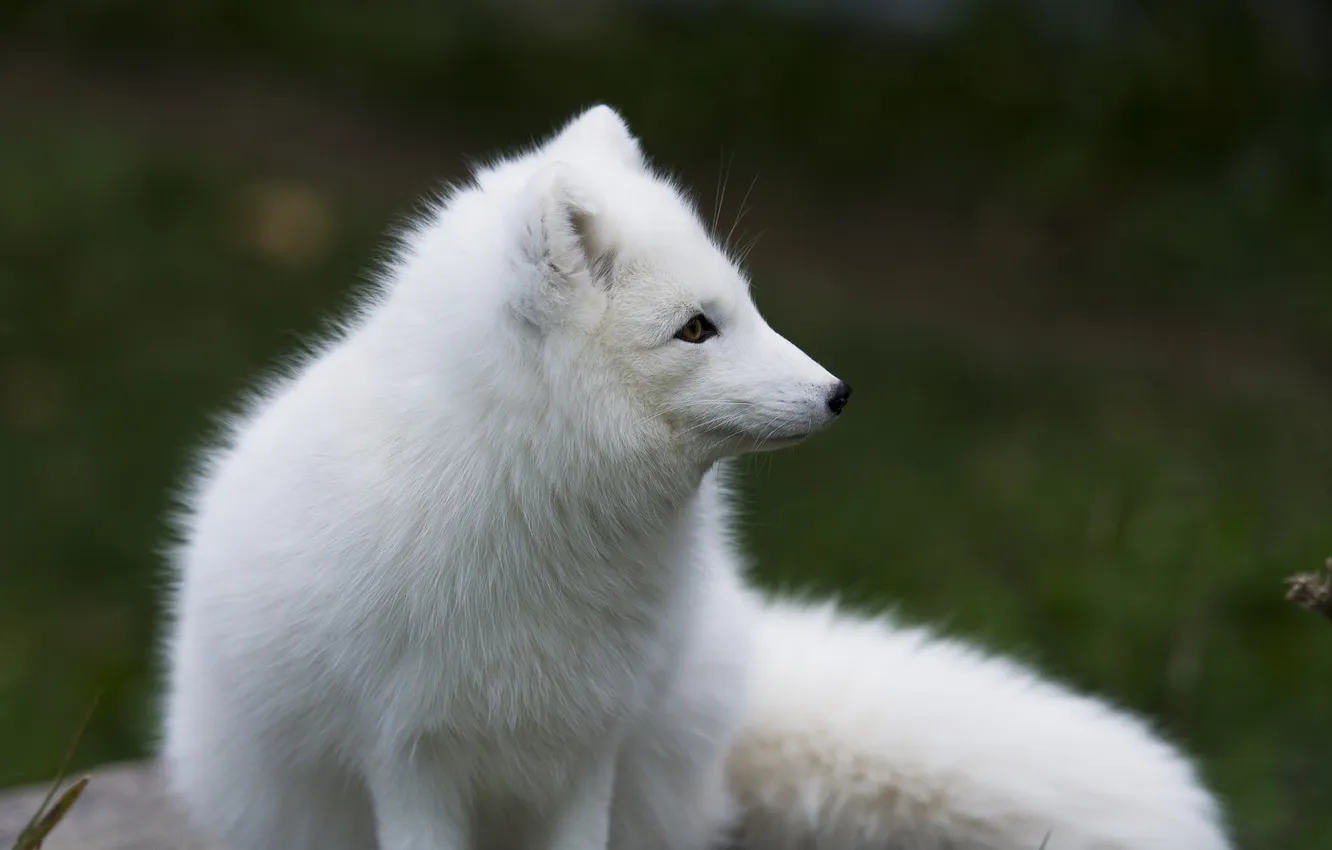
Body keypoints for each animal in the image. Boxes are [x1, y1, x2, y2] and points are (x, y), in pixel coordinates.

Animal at [160, 104, 1231, 850]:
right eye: (694, 328)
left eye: (745, 306)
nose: (840, 392)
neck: (540, 523)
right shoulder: (409, 754)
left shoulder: (588, 743)